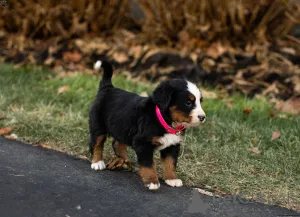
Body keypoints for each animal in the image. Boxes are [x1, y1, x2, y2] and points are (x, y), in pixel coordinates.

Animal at [89, 59, 206, 190]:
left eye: (200, 102)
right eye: (188, 102)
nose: (202, 117)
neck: (165, 120)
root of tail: (108, 87)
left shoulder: (172, 145)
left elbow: (170, 163)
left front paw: (172, 179)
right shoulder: (143, 143)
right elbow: (149, 164)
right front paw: (152, 181)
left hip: (122, 128)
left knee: (117, 143)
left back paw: (123, 161)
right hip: (97, 125)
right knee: (97, 143)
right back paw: (97, 163)